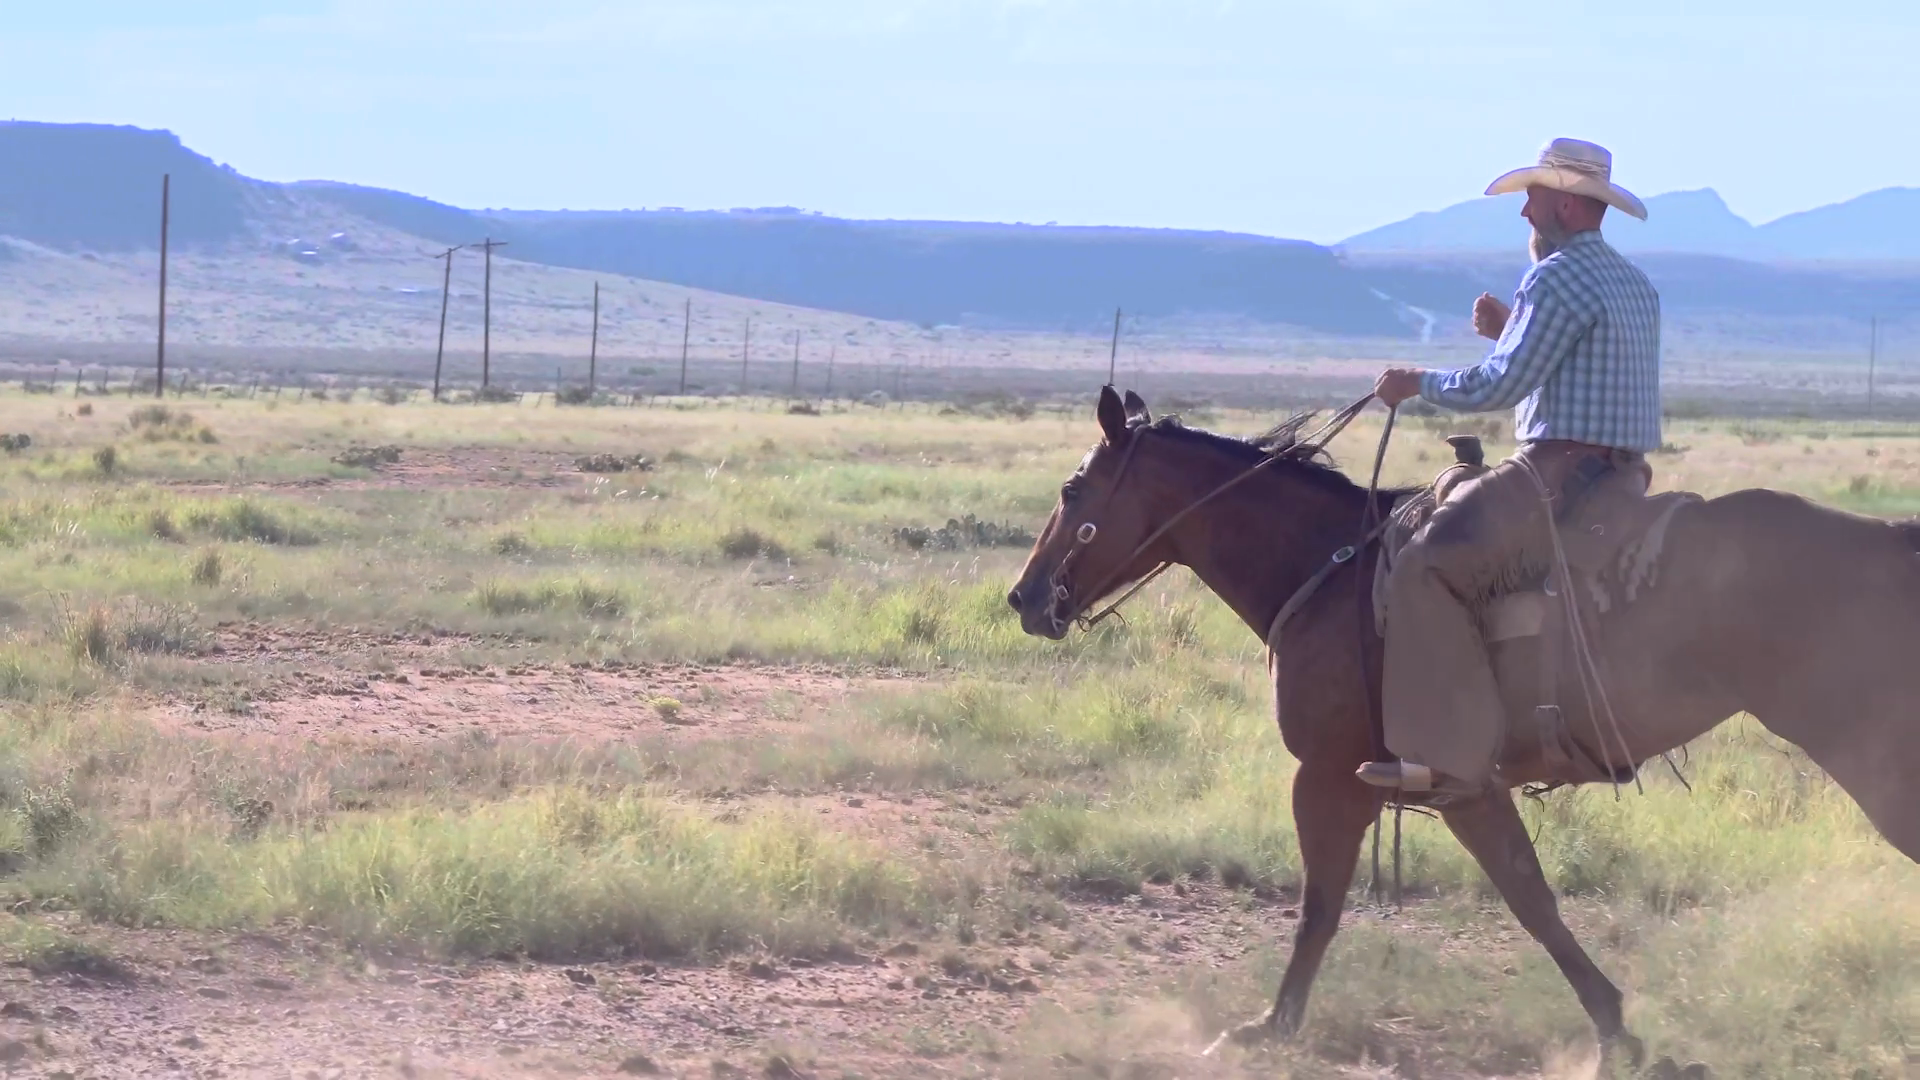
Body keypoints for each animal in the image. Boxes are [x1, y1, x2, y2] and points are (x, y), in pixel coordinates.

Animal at [1006, 385, 1920, 1061]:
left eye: (1073, 489)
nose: (1025, 597)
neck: (1329, 566)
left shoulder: (1330, 776)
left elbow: (1321, 906)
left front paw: (1268, 1027)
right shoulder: (1466, 789)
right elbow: (1531, 895)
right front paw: (1617, 1031)